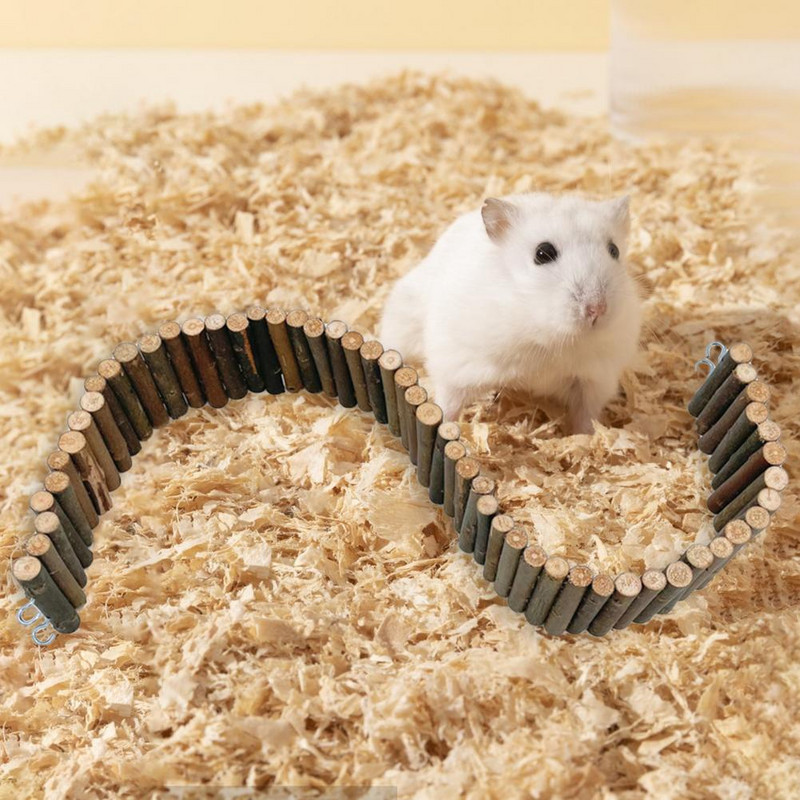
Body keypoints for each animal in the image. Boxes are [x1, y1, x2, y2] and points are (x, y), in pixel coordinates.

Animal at [379, 192, 642, 434]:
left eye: (614, 250)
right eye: (542, 253)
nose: (597, 309)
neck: (547, 335)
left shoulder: (594, 380)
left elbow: (585, 416)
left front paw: (584, 438)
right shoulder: (457, 366)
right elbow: (448, 404)